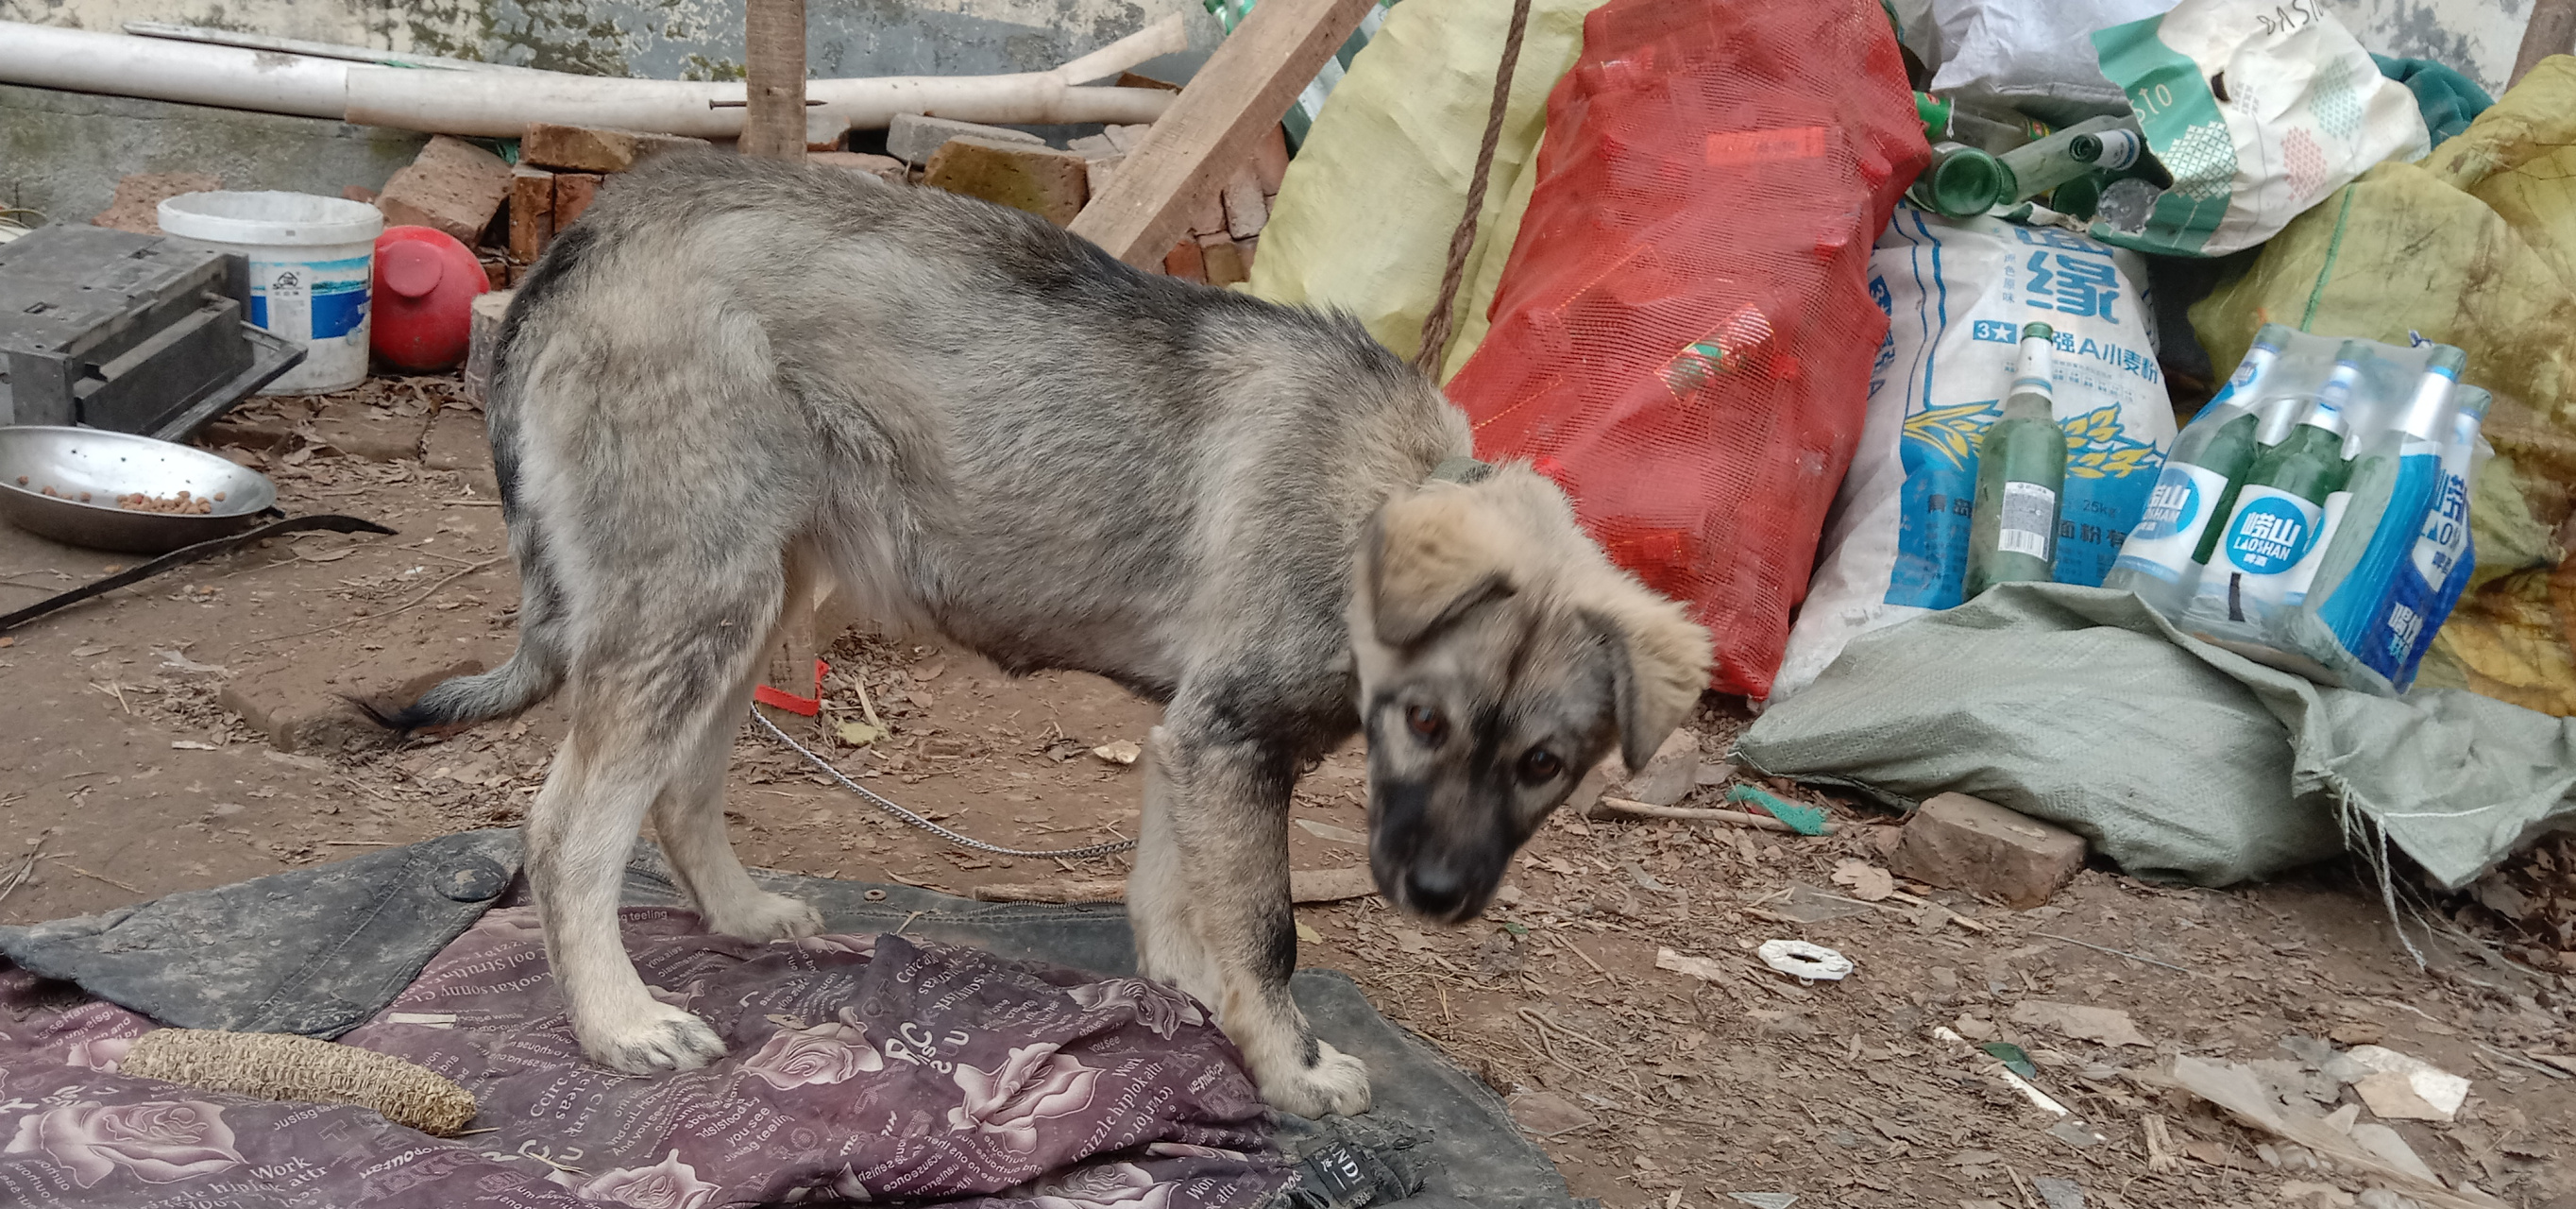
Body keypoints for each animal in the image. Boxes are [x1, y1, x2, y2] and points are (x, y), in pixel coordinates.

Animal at [386, 155, 1710, 1118]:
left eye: (1545, 764)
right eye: (1423, 722)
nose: (1437, 898)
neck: (1381, 498)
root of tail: (589, 235)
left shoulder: (1195, 742)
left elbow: (1178, 890)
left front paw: (1192, 995)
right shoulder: (1234, 742)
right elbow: (1270, 928)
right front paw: (1287, 1065)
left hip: (747, 601)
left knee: (676, 789)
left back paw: (744, 916)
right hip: (694, 599)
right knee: (569, 829)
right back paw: (618, 1021)